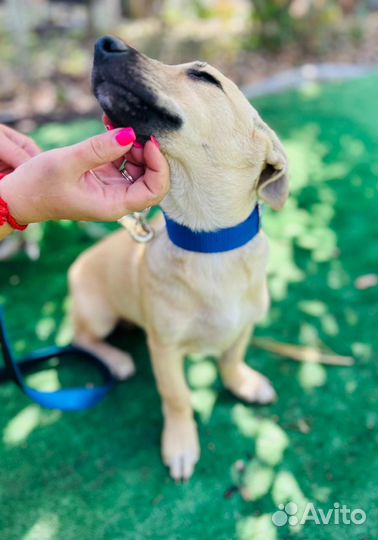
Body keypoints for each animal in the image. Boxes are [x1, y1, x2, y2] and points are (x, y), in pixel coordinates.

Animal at [68, 34, 290, 480]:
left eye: (204, 77)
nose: (105, 43)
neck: (209, 246)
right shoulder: (165, 348)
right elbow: (177, 396)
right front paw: (181, 444)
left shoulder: (245, 324)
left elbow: (232, 358)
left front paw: (243, 383)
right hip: (98, 315)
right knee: (79, 336)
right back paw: (116, 359)